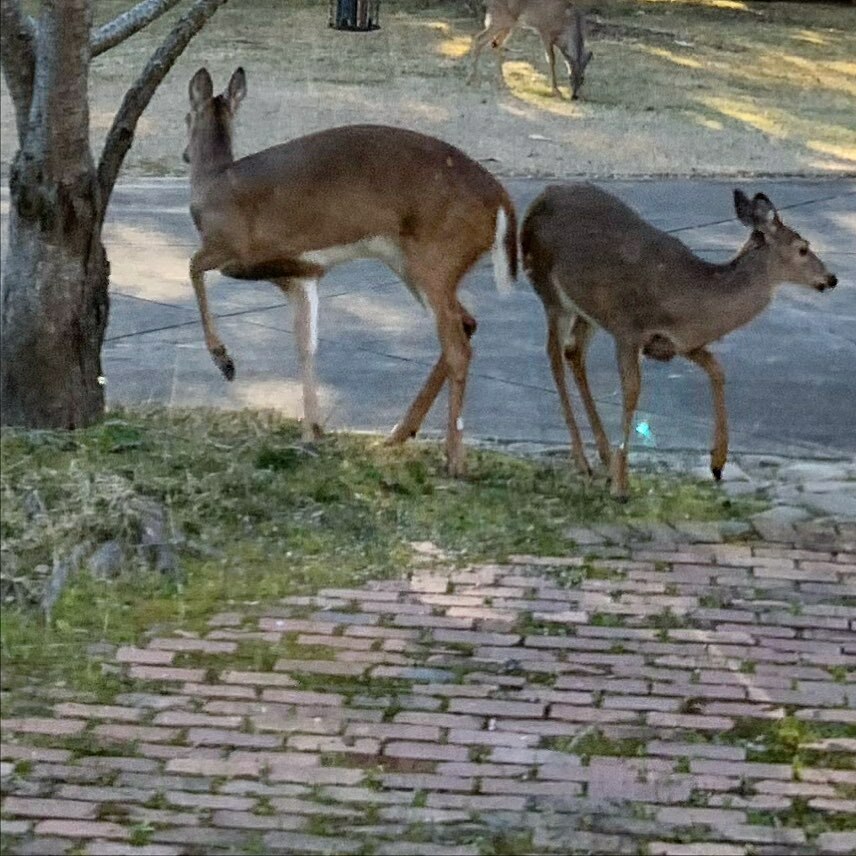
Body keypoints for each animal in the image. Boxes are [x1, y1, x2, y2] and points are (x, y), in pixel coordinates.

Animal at [183, 67, 517, 477]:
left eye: (186, 117)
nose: (184, 154)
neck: (213, 184)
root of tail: (501, 201)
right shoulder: (300, 275)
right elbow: (305, 344)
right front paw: (312, 432)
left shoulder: (232, 249)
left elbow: (192, 267)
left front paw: (225, 361)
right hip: (415, 266)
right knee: (467, 323)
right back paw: (399, 433)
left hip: (435, 260)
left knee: (458, 347)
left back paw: (454, 460)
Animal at [520, 183, 838, 500]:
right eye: (803, 248)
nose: (831, 278)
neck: (686, 299)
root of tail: (540, 197)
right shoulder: (627, 330)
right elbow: (632, 392)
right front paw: (621, 486)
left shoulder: (679, 343)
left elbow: (717, 370)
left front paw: (718, 462)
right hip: (550, 291)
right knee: (554, 357)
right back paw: (583, 461)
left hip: (588, 312)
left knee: (573, 351)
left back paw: (604, 456)